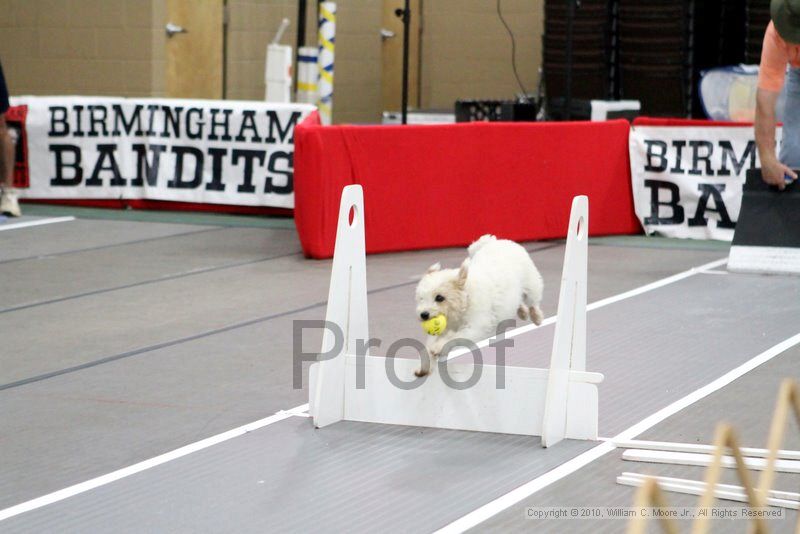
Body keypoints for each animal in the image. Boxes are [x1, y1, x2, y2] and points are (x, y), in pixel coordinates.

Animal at [412, 234, 544, 376]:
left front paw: (438, 347)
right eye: (421, 298)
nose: (424, 315)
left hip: (531, 286)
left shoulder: (474, 327)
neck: (465, 299)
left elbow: (454, 338)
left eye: (439, 297)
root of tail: (498, 241)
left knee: (533, 302)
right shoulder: (441, 330)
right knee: (519, 302)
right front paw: (424, 367)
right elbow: (428, 346)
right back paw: (523, 312)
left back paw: (536, 317)